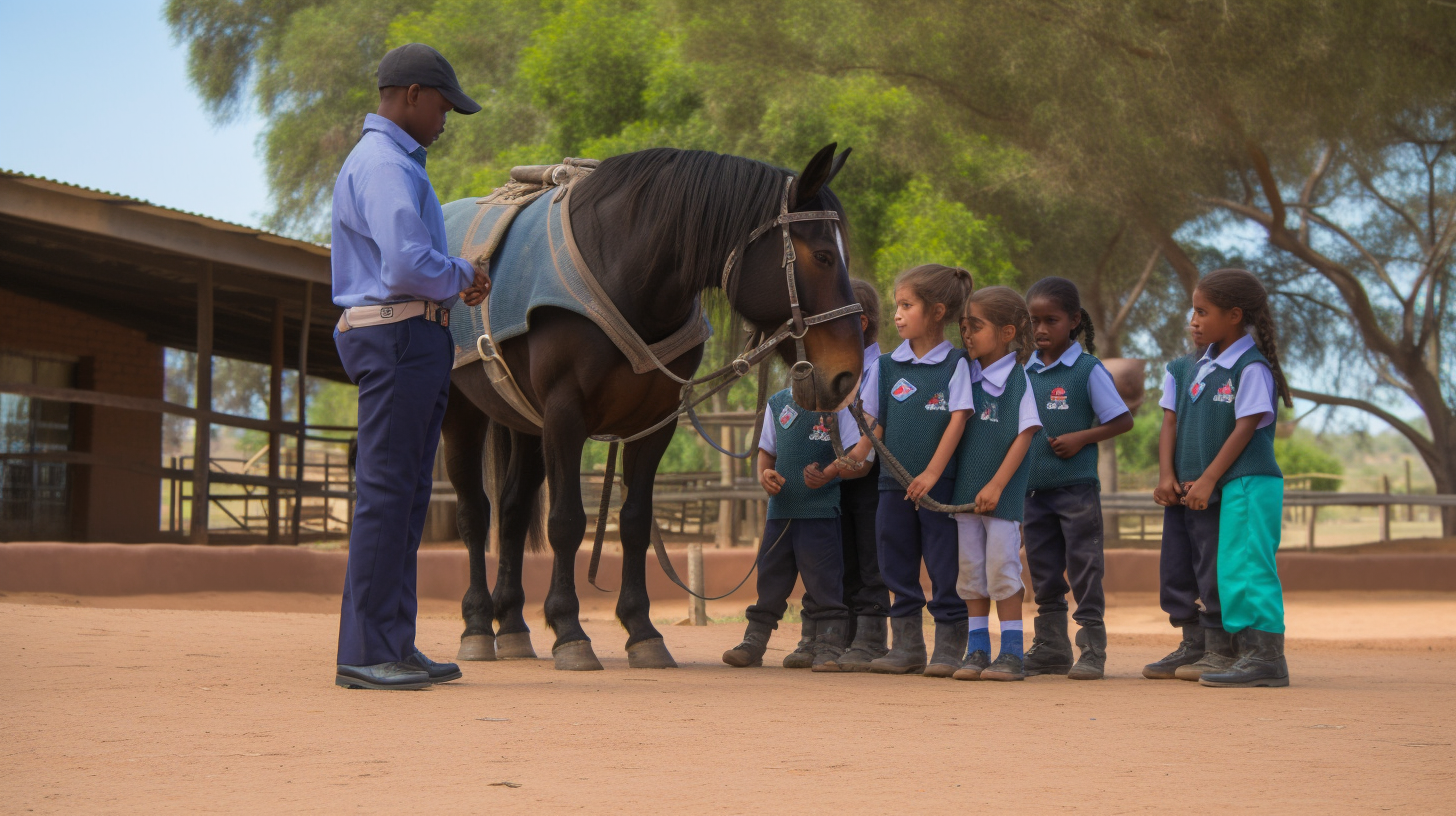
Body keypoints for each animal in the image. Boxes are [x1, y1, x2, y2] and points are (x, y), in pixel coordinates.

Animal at [436, 144, 856, 670]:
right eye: (822, 255)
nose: (847, 373)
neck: (625, 271)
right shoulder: (563, 416)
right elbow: (567, 522)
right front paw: (569, 629)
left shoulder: (655, 422)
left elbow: (635, 522)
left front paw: (641, 630)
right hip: (463, 413)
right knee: (475, 513)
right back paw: (475, 624)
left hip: (524, 425)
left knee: (511, 511)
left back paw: (511, 626)